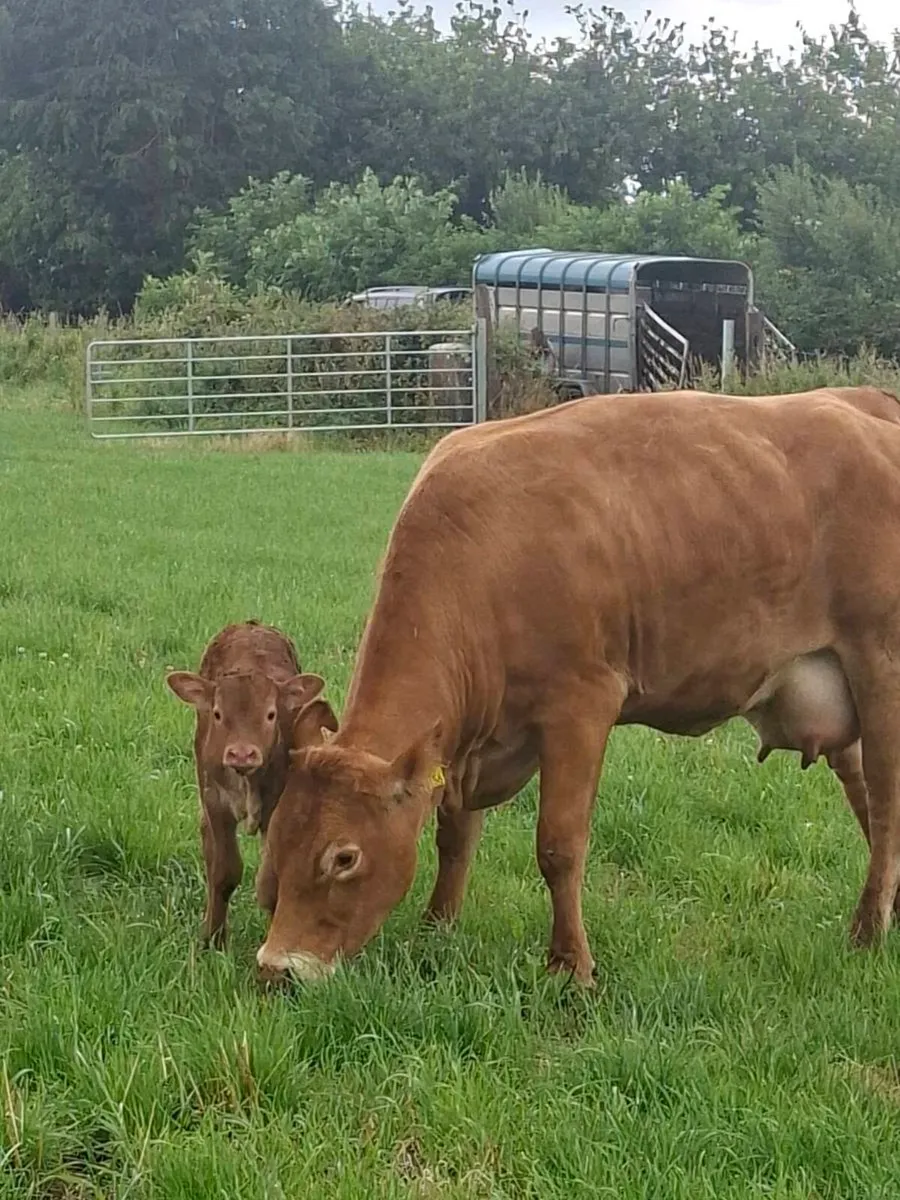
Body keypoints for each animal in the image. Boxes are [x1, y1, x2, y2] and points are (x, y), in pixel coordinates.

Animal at [166, 620, 338, 947]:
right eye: (218, 714)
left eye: (271, 714)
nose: (242, 753)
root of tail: (251, 625)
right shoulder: (215, 802)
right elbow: (224, 872)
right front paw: (213, 940)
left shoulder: (276, 809)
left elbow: (270, 883)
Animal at [255, 385, 900, 986]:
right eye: (276, 838)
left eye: (343, 857)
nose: (275, 968)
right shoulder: (464, 751)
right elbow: (454, 837)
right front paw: (437, 929)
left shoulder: (580, 707)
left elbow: (559, 847)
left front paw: (571, 967)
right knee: (869, 799)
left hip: (881, 667)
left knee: (887, 803)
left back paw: (867, 931)